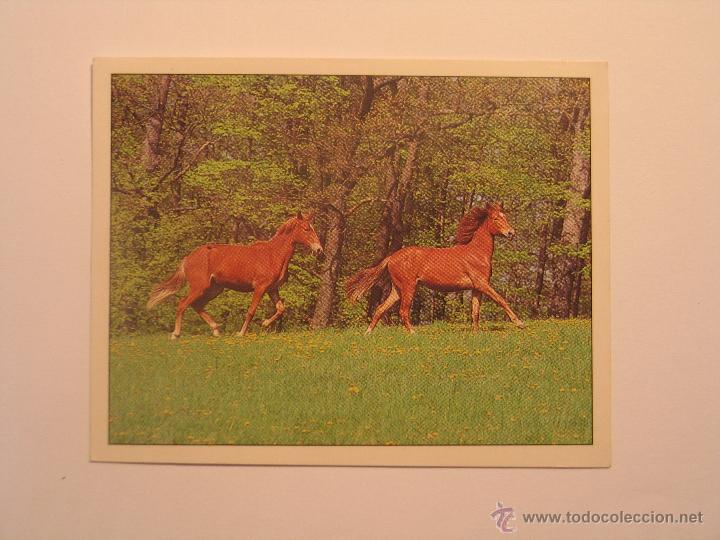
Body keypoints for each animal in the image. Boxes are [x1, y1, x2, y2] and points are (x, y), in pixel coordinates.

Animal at [147, 212, 323, 339]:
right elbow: (251, 311)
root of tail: (188, 258)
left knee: (197, 305)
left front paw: (265, 323)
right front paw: (241, 333)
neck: (273, 254)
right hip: (199, 287)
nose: (319, 249)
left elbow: (281, 308)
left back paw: (216, 330)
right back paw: (176, 334)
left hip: (214, 289)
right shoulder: (260, 288)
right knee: (183, 304)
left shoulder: (272, 289)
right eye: (306, 229)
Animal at [346, 202, 525, 334]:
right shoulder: (482, 284)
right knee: (403, 311)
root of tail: (391, 257)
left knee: (380, 309)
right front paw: (520, 323)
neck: (476, 253)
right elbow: (501, 300)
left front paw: (475, 334)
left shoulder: (476, 288)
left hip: (397, 289)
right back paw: (413, 334)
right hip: (409, 287)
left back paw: (368, 333)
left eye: (505, 217)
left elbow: (475, 311)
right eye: (495, 219)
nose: (511, 233)